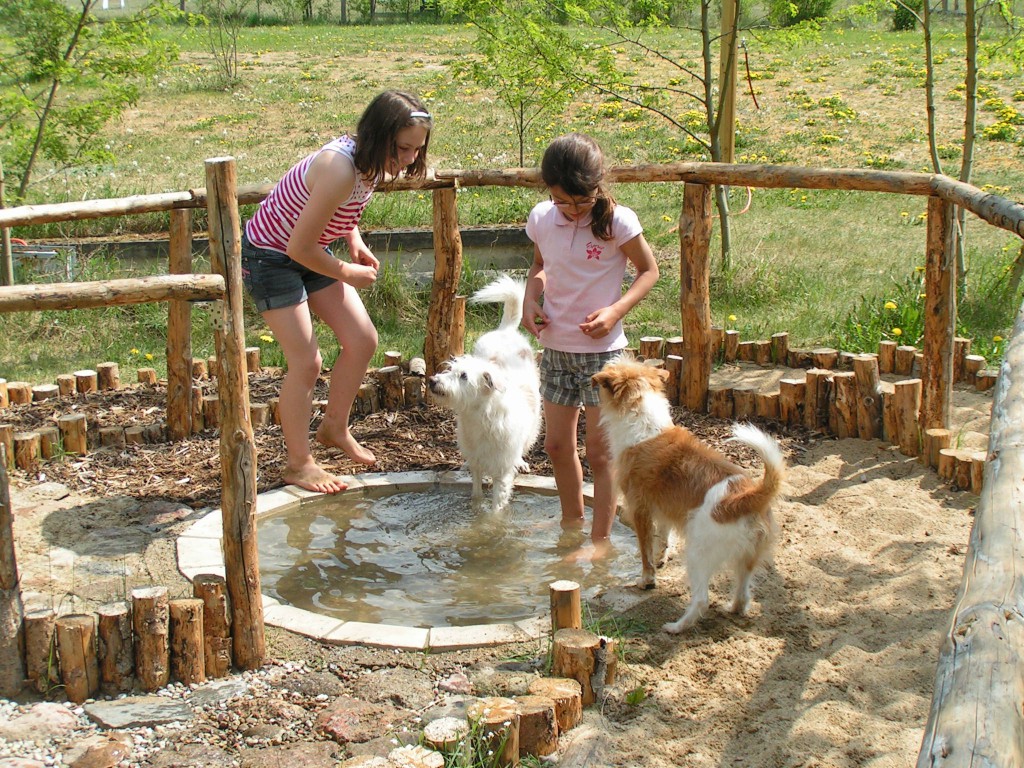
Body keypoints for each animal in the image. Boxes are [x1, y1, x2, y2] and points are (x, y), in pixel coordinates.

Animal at [428, 274, 544, 514]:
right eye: (450, 370)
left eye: (463, 376)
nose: (433, 381)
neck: (479, 417)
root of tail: (506, 330)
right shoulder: (477, 465)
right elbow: (476, 495)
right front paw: (475, 513)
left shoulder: (502, 473)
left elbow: (496, 509)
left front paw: (489, 523)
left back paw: (521, 461)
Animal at [593, 358, 782, 634]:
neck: (645, 423)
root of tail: (747, 495)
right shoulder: (663, 509)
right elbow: (663, 538)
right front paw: (661, 558)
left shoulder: (640, 510)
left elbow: (645, 551)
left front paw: (647, 581)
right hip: (746, 558)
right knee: (743, 594)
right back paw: (733, 608)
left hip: (697, 553)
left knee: (702, 599)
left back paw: (677, 626)